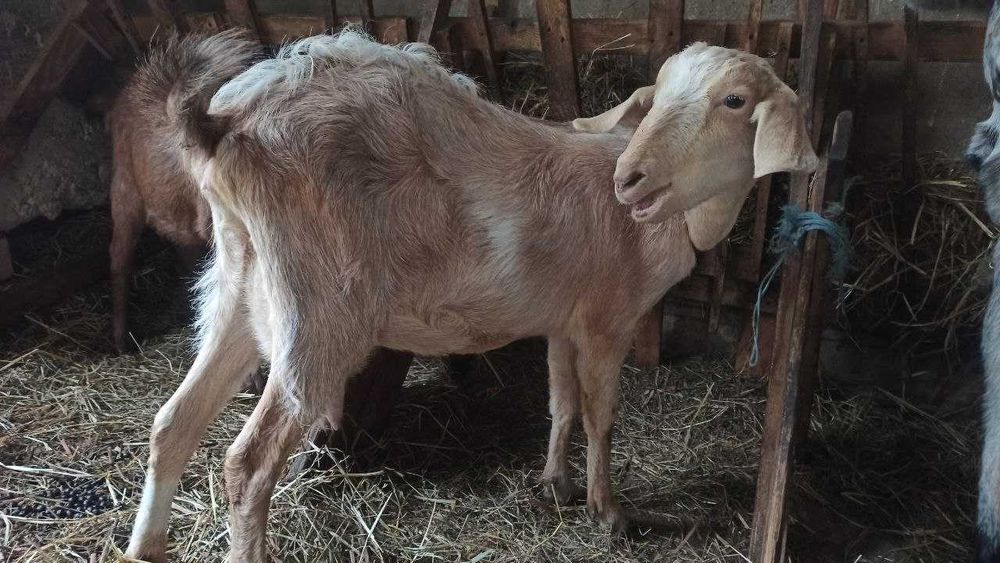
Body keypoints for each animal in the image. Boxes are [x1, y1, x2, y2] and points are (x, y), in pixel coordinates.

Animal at [124, 31, 816, 562]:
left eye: (733, 101)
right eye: (659, 96)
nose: (631, 180)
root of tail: (225, 123)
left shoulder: (561, 320)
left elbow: (561, 403)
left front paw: (555, 483)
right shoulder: (607, 321)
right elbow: (602, 416)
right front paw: (609, 512)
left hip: (240, 288)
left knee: (171, 424)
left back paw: (146, 547)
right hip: (316, 312)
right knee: (248, 467)